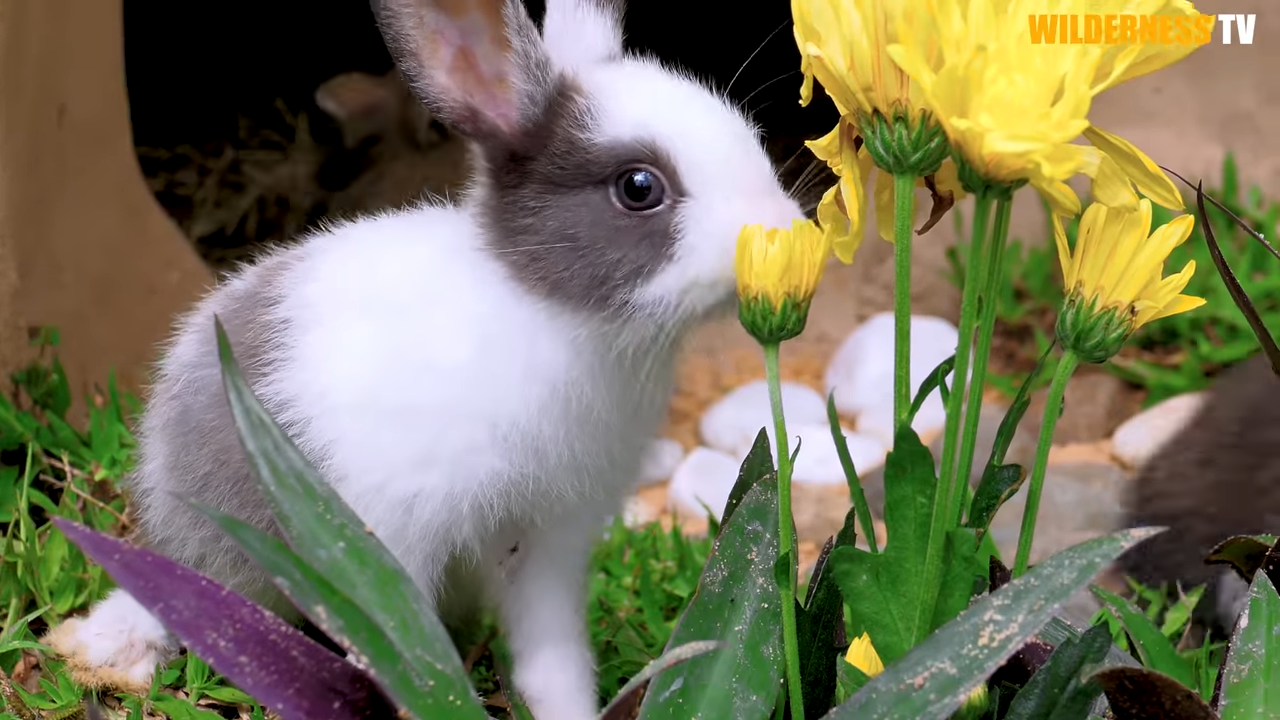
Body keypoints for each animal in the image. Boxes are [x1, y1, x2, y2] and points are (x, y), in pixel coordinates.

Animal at [42, 0, 805, 717]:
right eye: (639, 187)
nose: (784, 230)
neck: (549, 312)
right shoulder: (388, 533)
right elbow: (406, 650)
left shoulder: (550, 539)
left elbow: (552, 654)